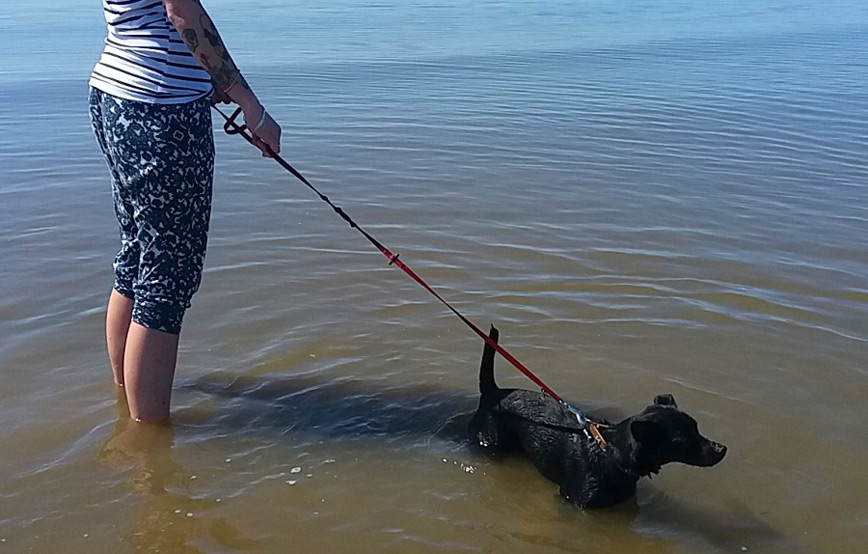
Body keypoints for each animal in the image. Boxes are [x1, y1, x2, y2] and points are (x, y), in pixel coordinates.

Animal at [468, 326, 724, 506]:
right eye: (683, 439)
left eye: (697, 428)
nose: (722, 449)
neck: (611, 454)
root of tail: (493, 391)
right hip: (490, 443)